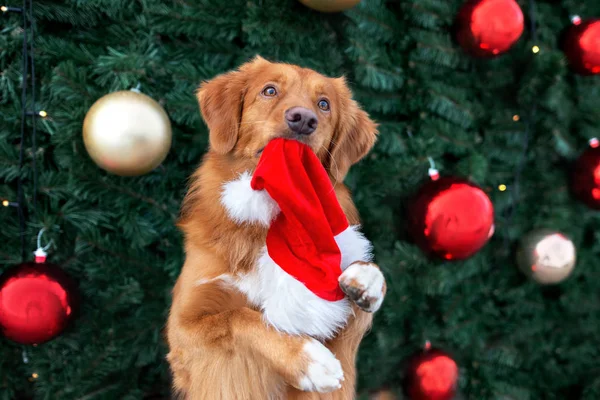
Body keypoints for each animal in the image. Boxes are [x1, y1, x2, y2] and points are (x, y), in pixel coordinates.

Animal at [166, 56, 386, 400]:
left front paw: (366, 278)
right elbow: (239, 317)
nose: (303, 119)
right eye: (269, 90)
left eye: (324, 104)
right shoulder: (183, 330)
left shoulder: (341, 337)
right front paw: (307, 357)